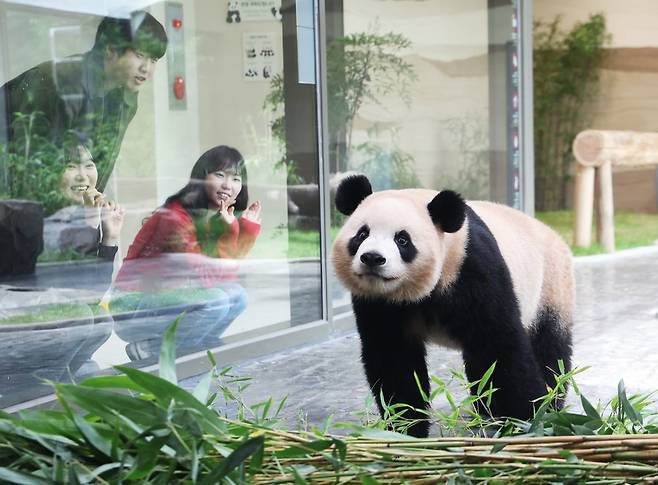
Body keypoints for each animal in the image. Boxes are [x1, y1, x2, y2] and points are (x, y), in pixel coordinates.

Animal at [332, 175, 574, 438]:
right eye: (362, 234)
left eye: (402, 239)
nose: (373, 258)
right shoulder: (379, 302)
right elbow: (393, 357)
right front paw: (405, 427)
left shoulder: (471, 268)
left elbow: (499, 345)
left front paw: (529, 420)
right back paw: (485, 407)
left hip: (550, 286)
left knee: (549, 349)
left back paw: (549, 402)